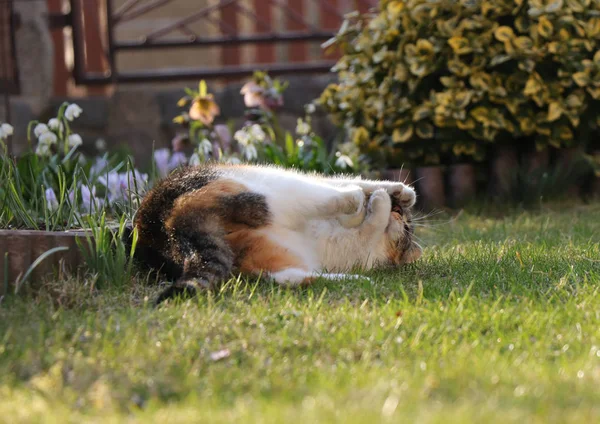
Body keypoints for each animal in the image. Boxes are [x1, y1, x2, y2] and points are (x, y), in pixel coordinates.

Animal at [131, 164, 422, 304]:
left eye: (407, 229)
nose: (399, 210)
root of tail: (165, 226)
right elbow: (345, 182)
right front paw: (397, 193)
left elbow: (369, 227)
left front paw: (382, 204)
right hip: (264, 179)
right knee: (328, 193)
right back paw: (362, 200)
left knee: (289, 275)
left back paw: (356, 279)